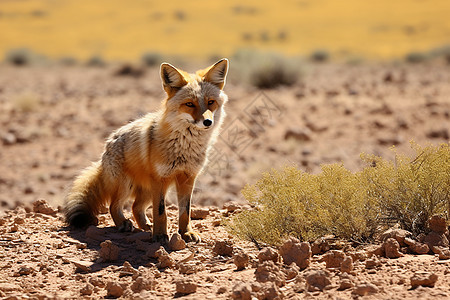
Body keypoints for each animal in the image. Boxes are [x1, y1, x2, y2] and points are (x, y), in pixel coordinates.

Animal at [64, 58, 229, 244]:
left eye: (210, 102)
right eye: (189, 104)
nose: (208, 122)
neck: (184, 147)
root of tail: (107, 145)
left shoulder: (188, 177)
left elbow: (185, 211)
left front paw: (186, 233)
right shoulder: (160, 178)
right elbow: (161, 212)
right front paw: (160, 236)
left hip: (149, 190)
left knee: (135, 207)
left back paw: (145, 226)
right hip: (128, 185)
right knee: (114, 205)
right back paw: (124, 224)